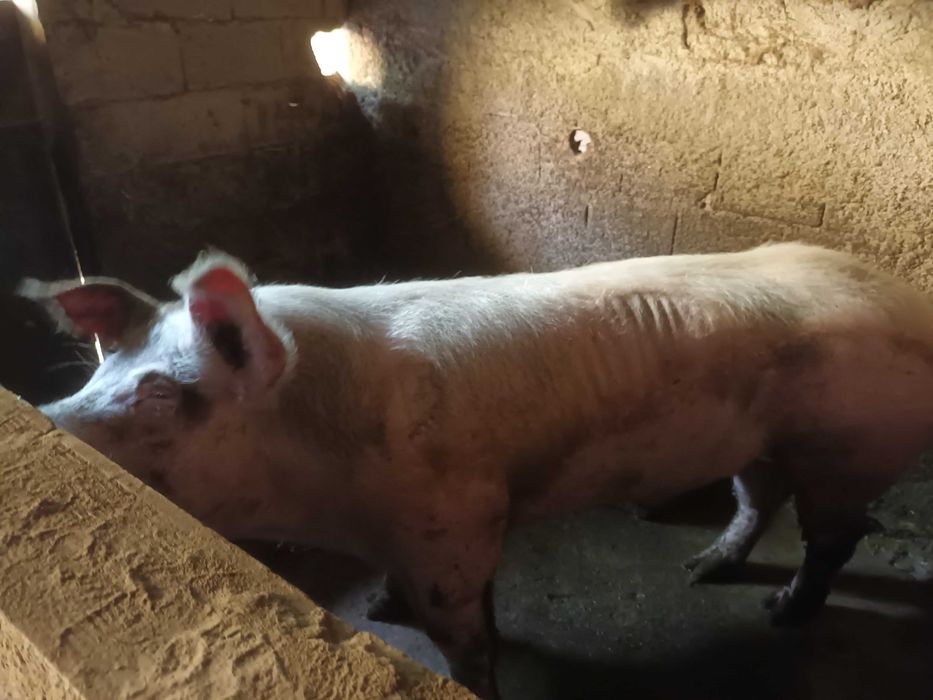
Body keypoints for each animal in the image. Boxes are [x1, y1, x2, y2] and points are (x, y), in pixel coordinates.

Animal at [21, 242, 933, 698]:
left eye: (159, 395)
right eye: (96, 370)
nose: (48, 420)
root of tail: (906, 297)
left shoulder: (452, 525)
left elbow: (467, 640)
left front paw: (459, 667)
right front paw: (381, 606)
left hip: (847, 447)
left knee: (834, 536)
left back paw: (782, 613)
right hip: (761, 441)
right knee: (758, 497)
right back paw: (702, 568)